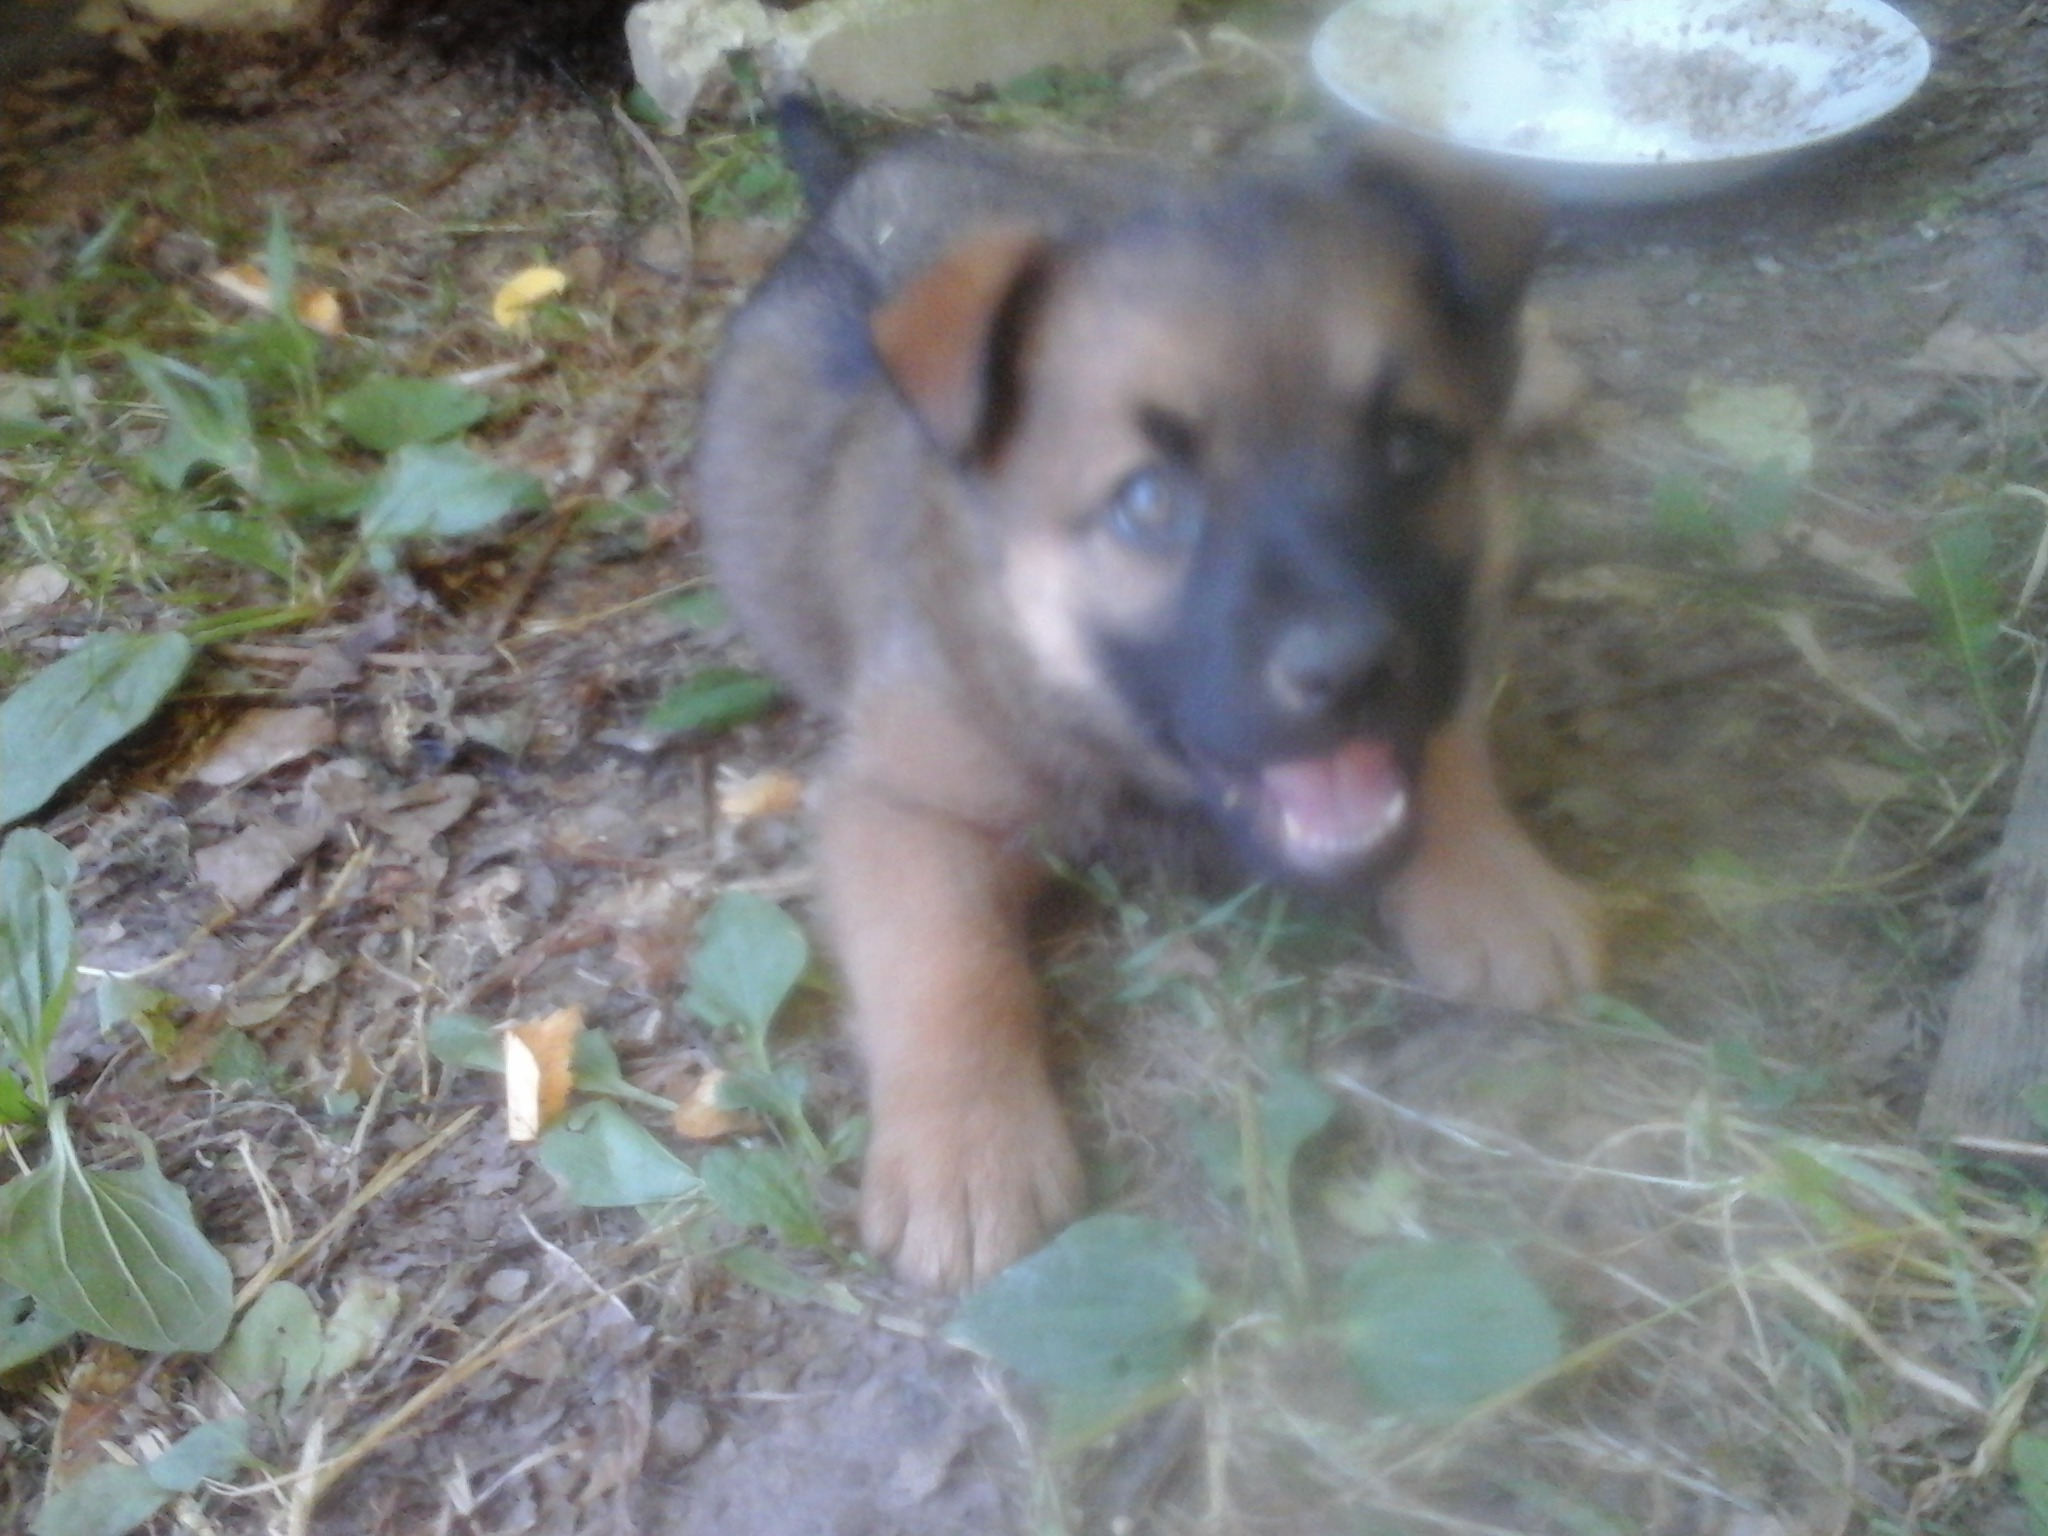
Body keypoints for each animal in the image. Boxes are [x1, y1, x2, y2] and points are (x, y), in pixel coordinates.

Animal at [693, 105, 1601, 1290]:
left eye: (1412, 451)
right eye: (1147, 503)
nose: (1355, 668)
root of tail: (858, 182)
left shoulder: (1443, 655)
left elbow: (1441, 745)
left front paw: (1498, 885)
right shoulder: (900, 807)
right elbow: (944, 964)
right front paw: (965, 1153)